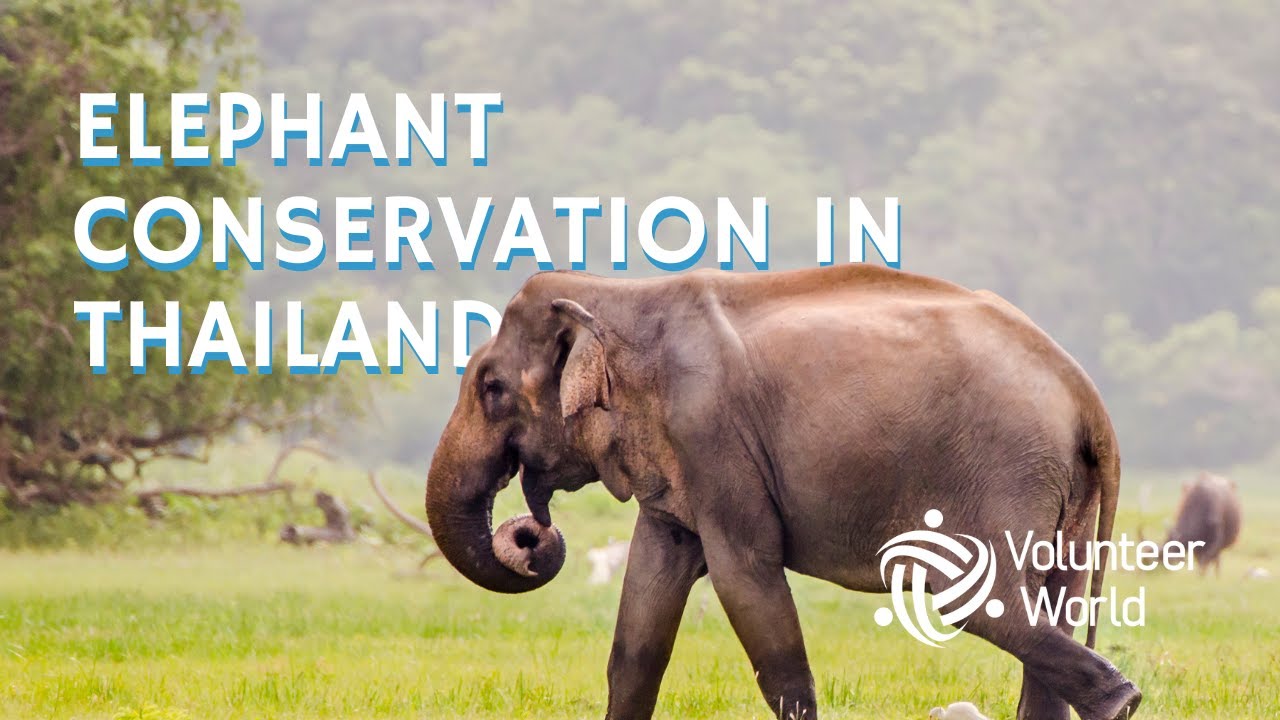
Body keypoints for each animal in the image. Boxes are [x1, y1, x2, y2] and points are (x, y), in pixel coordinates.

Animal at [424, 264, 1142, 720]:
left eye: (491, 388)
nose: (532, 533)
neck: (620, 296)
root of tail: (1087, 397)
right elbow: (643, 615)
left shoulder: (712, 438)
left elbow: (746, 578)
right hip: (1063, 493)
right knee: (1047, 608)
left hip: (1003, 471)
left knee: (979, 601)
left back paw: (1122, 701)